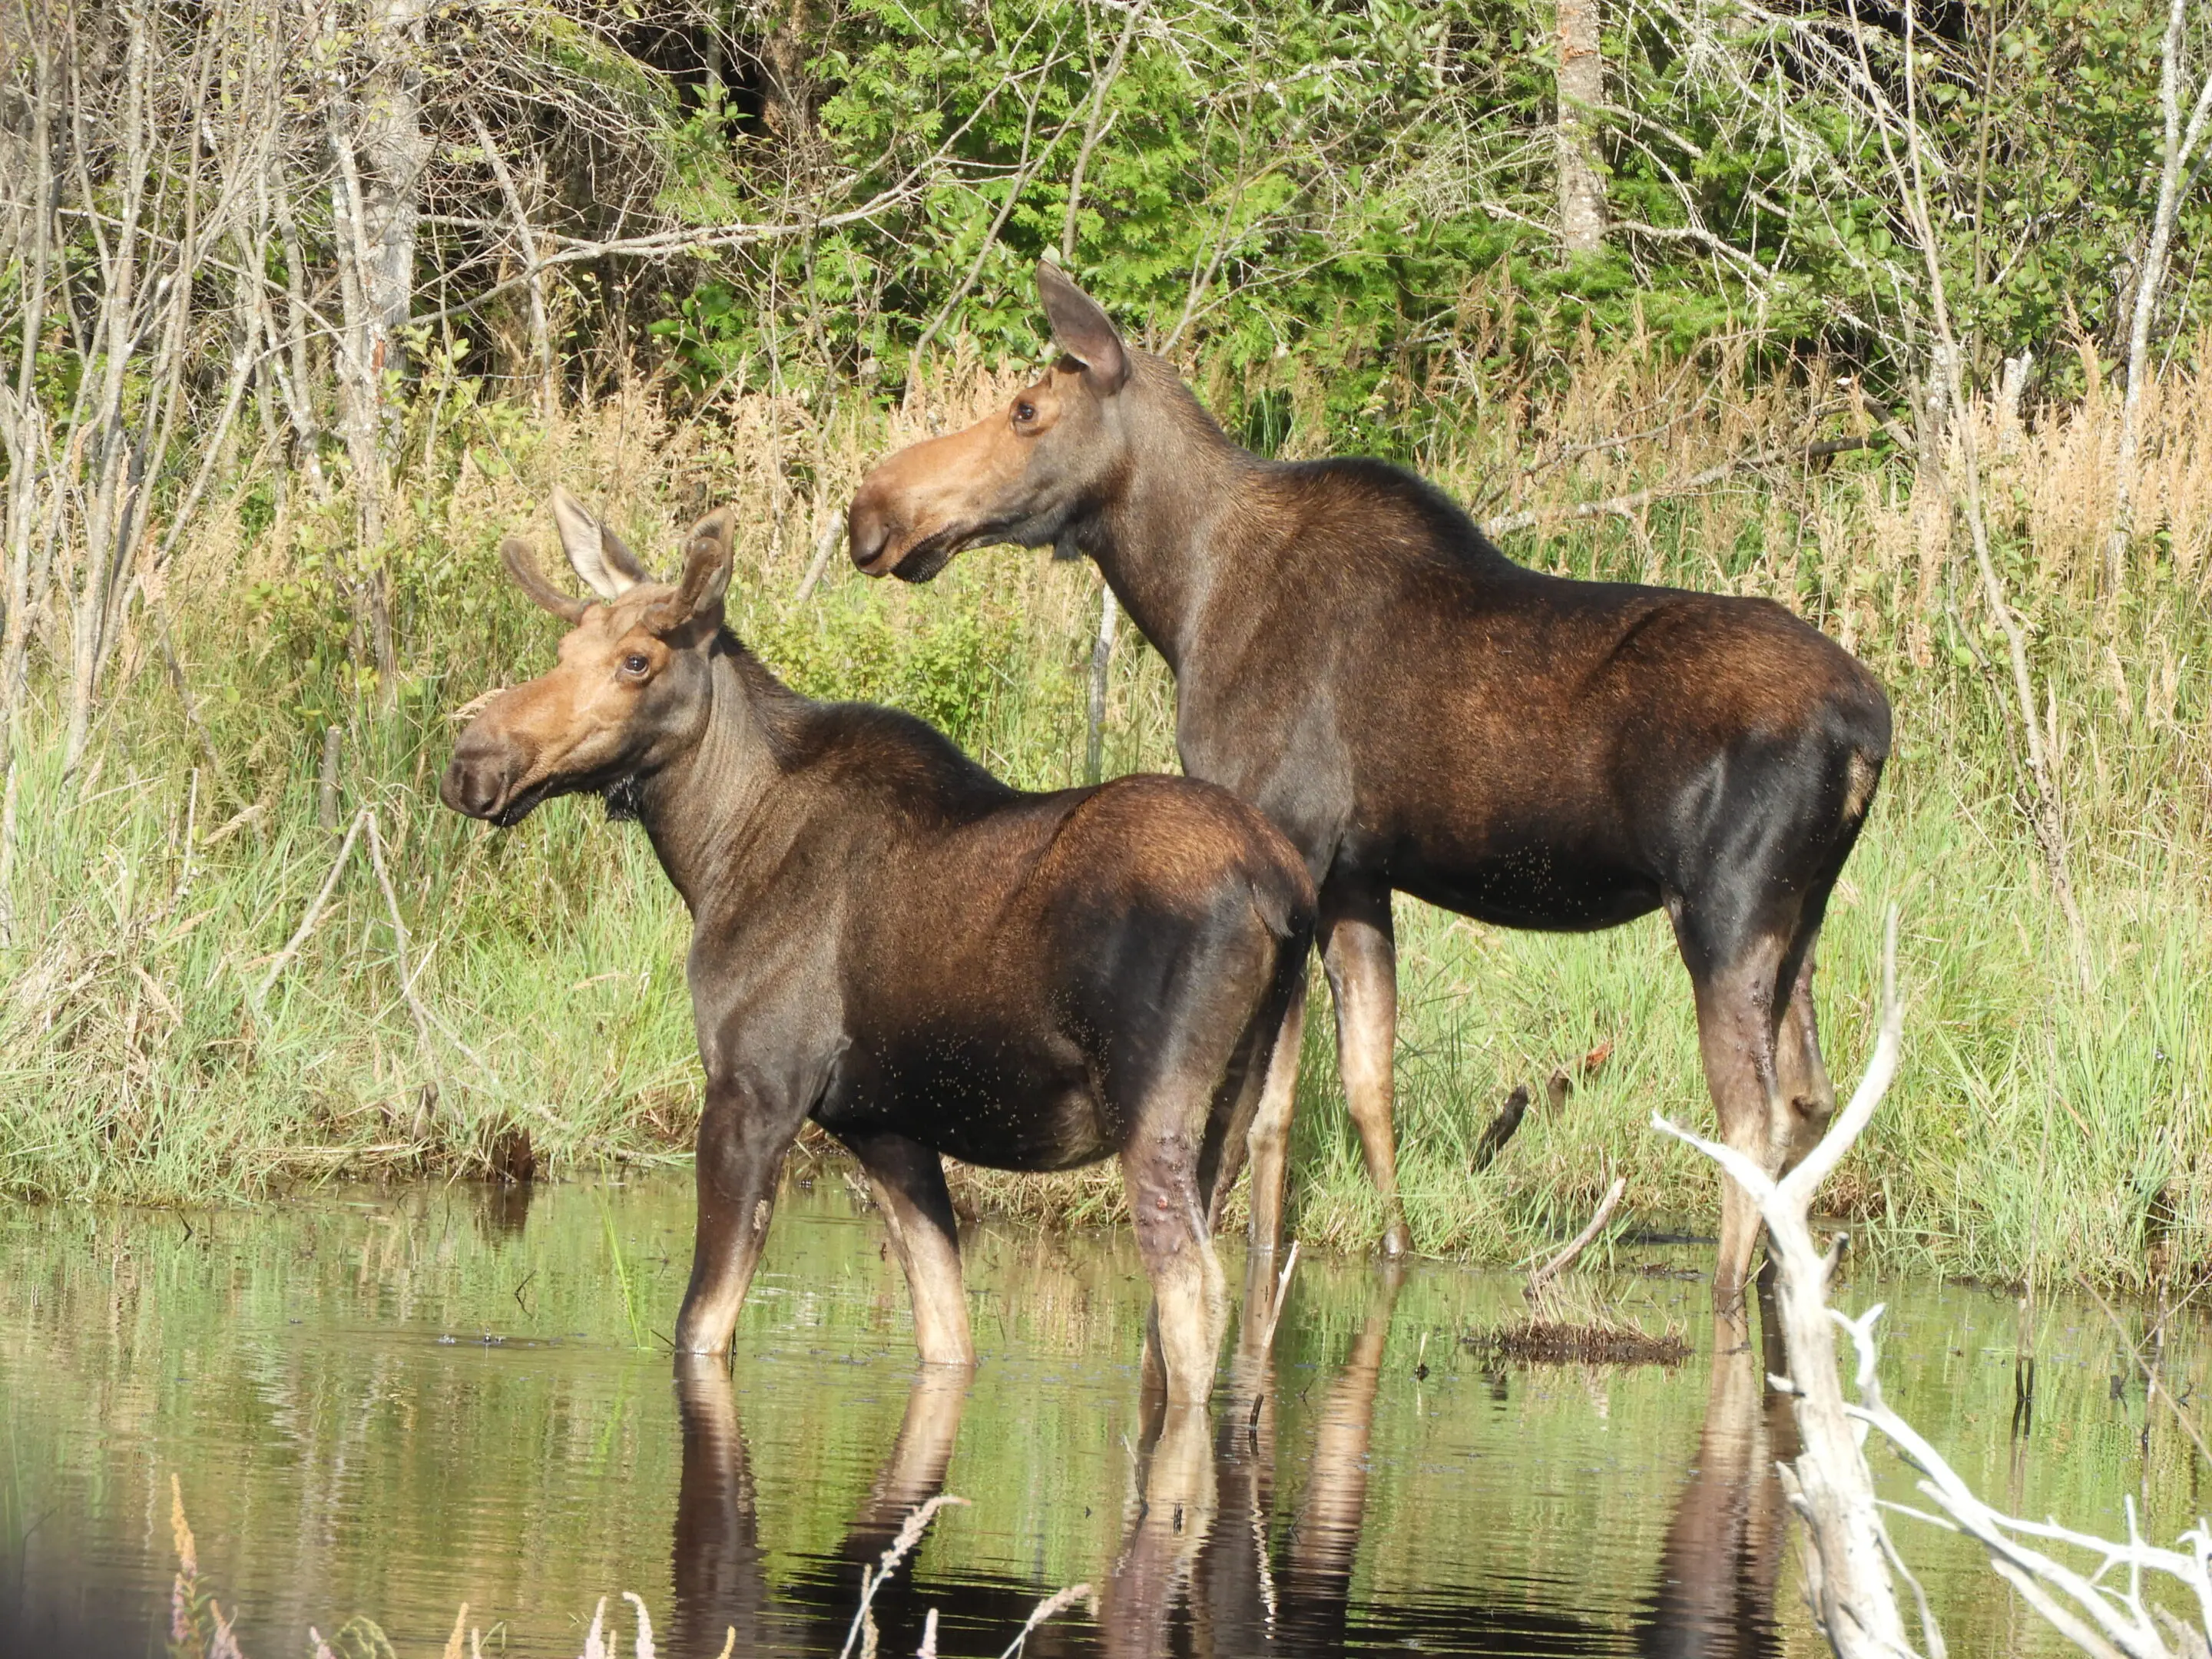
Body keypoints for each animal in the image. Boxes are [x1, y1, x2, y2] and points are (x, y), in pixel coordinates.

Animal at [444, 493, 1309, 1406]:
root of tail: (1279, 888)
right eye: (564, 649)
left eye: (637, 661)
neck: (715, 850)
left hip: (1157, 1104)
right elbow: (947, 1335)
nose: (473, 762)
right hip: (1241, 1103)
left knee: (1193, 1293)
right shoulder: (886, 1127)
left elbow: (700, 1330)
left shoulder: (756, 1090)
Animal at [840, 263, 1884, 1309]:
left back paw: (1728, 1292)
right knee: (1808, 1095)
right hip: (1801, 914)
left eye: (1026, 410)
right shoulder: (1354, 875)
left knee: (1752, 1113)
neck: (1183, 594)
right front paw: (1393, 1247)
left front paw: (1259, 1264)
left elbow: (1265, 1112)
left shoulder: (1292, 841)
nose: (871, 510)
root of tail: (1870, 729)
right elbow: (1365, 1085)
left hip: (1723, 906)